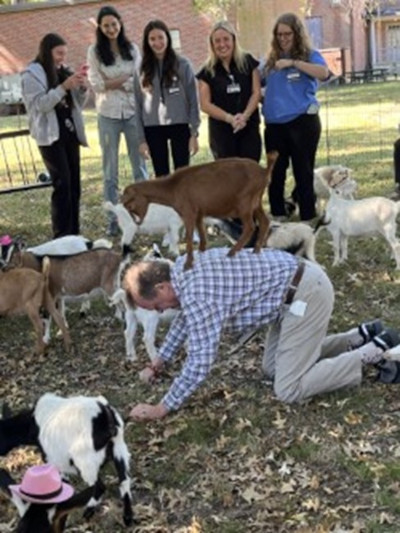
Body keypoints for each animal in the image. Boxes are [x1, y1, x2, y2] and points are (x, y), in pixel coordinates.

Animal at [0, 392, 134, 524]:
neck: (31, 423)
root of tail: (104, 413)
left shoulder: (53, 459)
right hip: (119, 447)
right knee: (124, 480)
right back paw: (127, 517)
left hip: (85, 459)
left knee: (100, 486)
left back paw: (88, 511)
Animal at [122, 153, 278, 270]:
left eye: (130, 205)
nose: (138, 222)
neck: (172, 187)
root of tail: (264, 171)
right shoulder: (198, 213)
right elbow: (201, 232)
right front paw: (201, 251)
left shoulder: (188, 213)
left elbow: (189, 237)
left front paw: (188, 264)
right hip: (256, 202)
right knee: (264, 221)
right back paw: (256, 250)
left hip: (245, 203)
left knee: (250, 226)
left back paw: (232, 252)